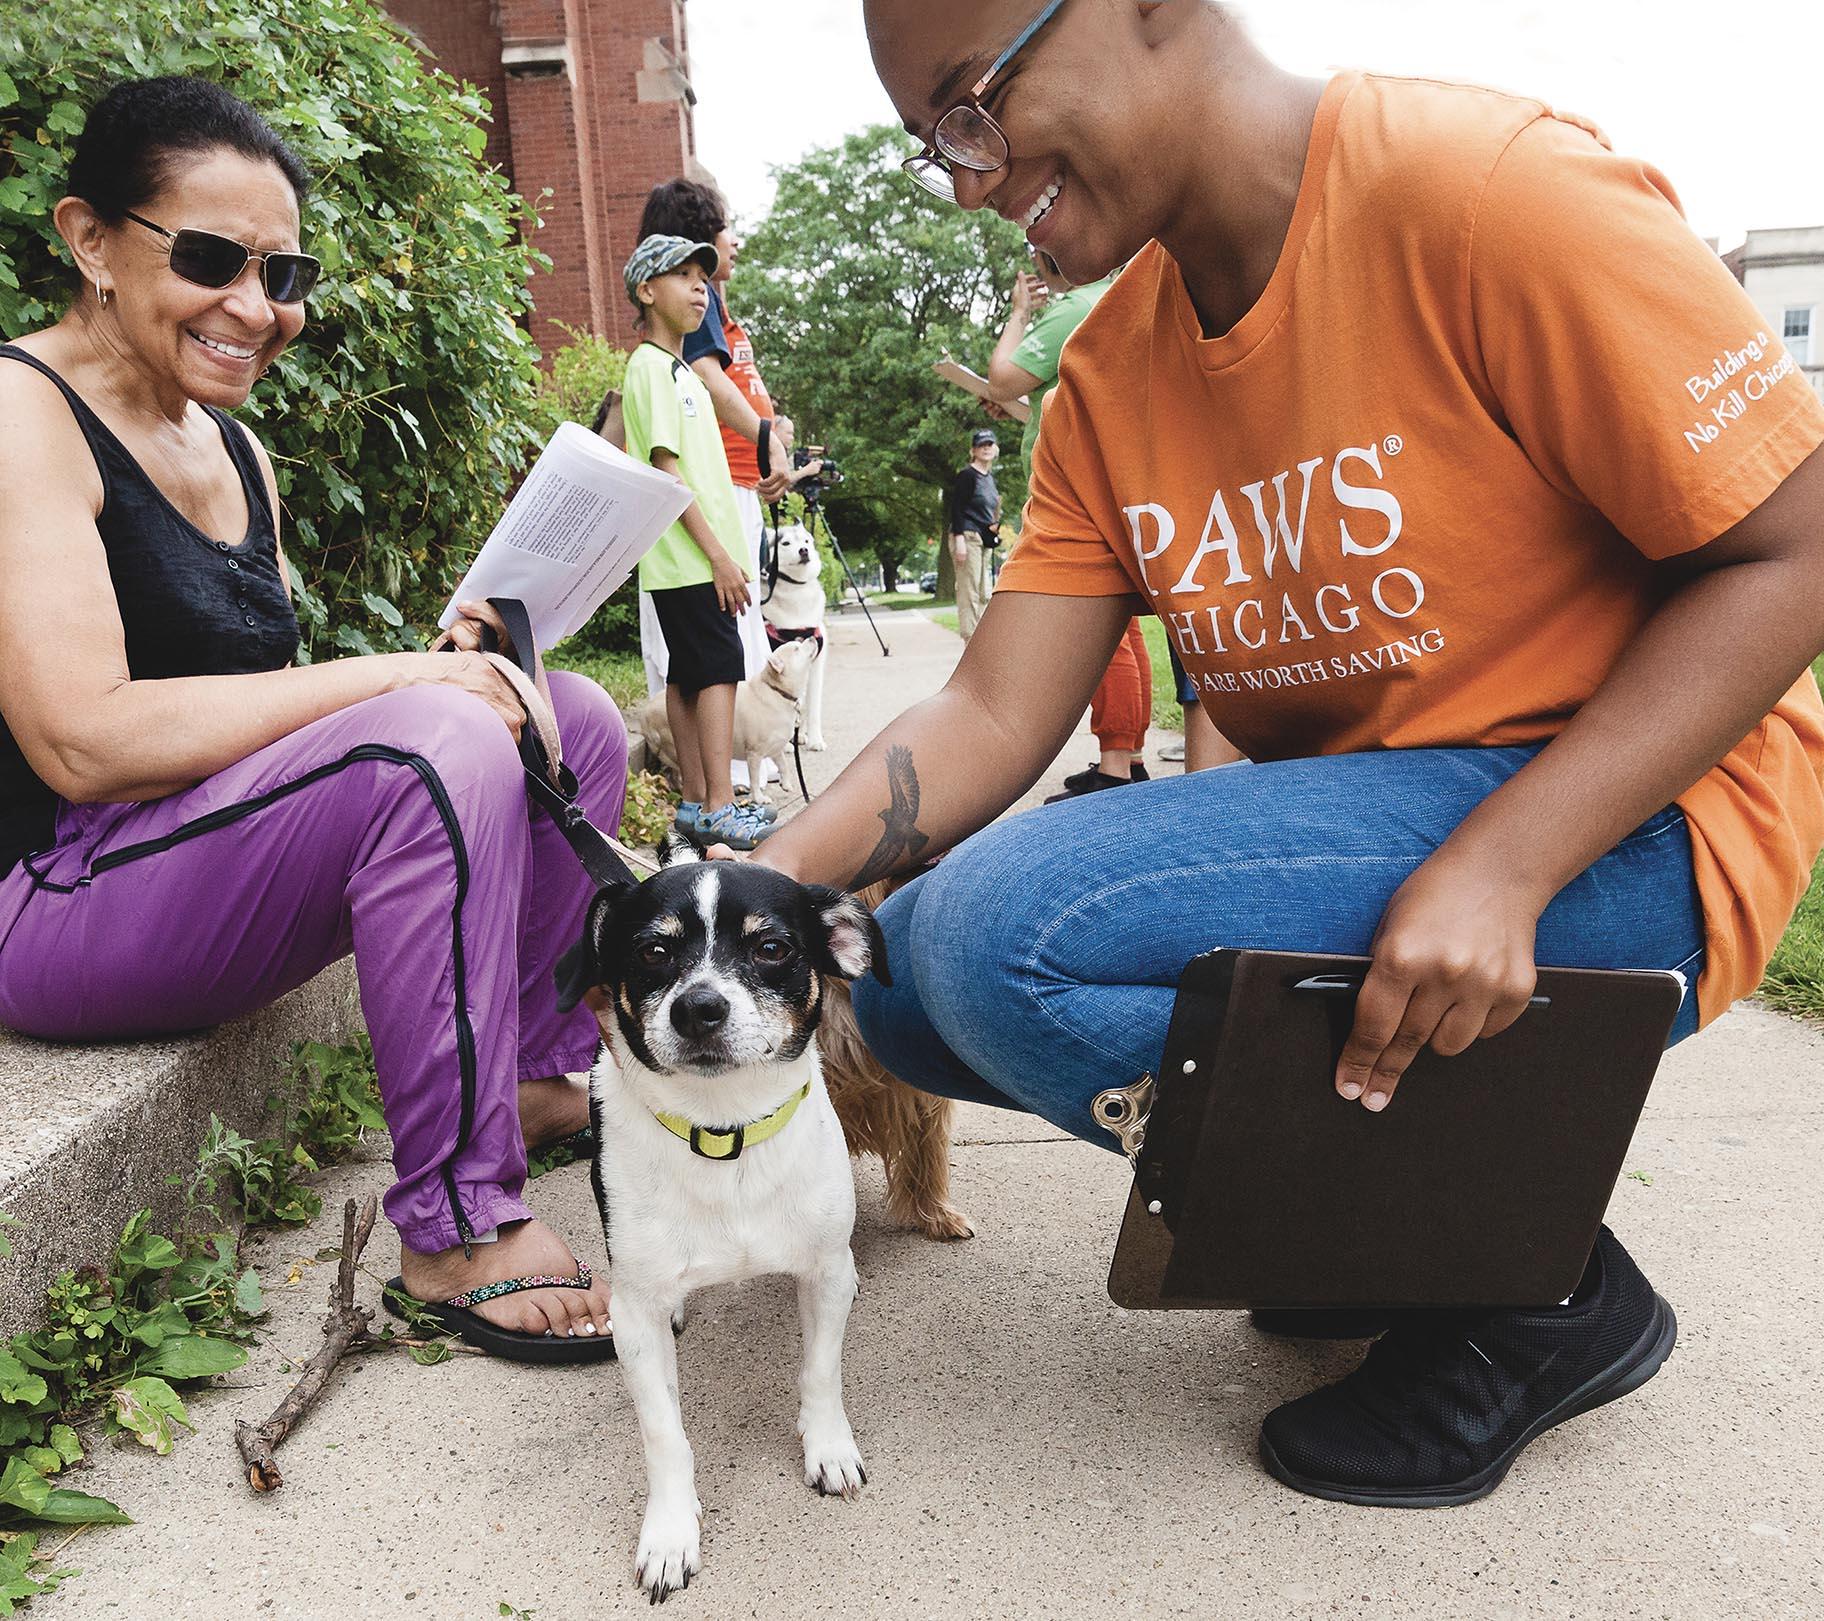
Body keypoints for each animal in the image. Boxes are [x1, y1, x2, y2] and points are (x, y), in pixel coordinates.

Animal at [550, 842, 886, 1597]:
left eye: (772, 947)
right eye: (652, 951)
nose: (698, 1006)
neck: (722, 1132)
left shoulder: (828, 1272)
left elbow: (821, 1372)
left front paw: (828, 1448)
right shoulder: (636, 1318)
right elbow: (664, 1434)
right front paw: (671, 1533)